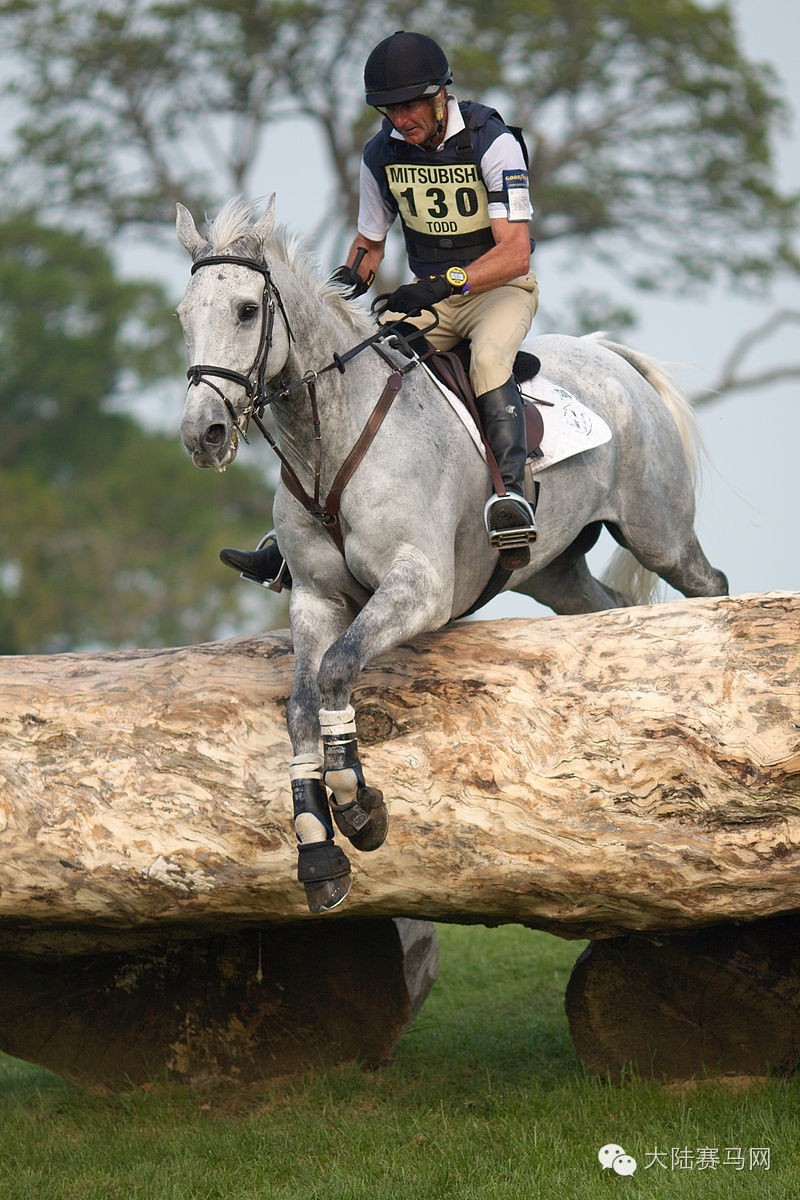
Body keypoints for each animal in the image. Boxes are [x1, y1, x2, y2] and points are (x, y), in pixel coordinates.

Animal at [178, 199, 729, 907]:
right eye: (185, 316)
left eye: (247, 310)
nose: (203, 433)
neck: (329, 439)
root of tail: (608, 357)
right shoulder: (316, 598)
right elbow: (303, 703)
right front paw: (318, 847)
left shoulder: (420, 590)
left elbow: (337, 668)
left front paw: (357, 805)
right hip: (556, 575)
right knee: (605, 609)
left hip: (659, 533)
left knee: (709, 587)